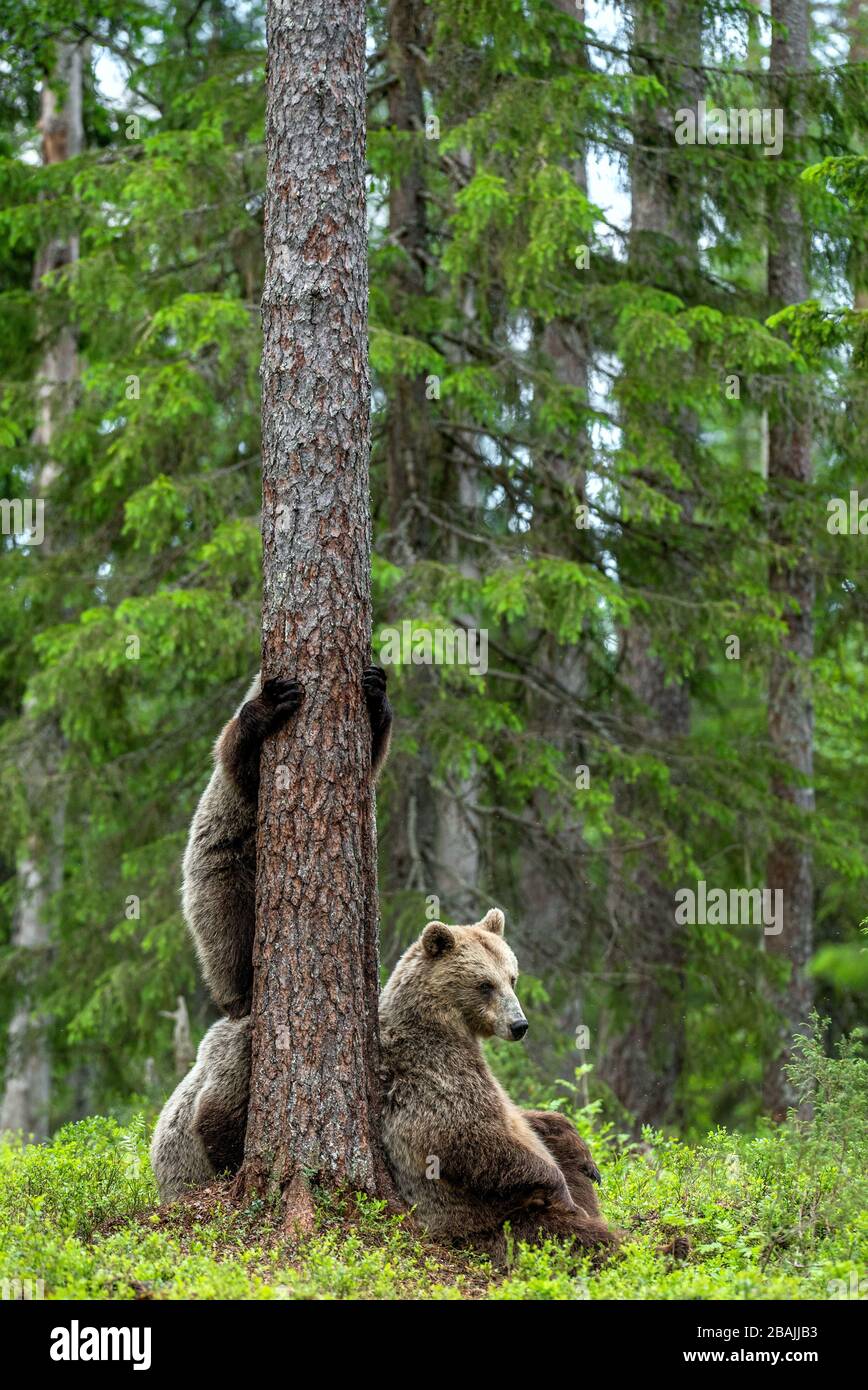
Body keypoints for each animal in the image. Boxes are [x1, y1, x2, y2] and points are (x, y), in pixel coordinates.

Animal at [182, 665, 392, 1019]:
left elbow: (372, 759)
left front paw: (377, 690)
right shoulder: (242, 788)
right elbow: (234, 756)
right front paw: (272, 702)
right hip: (220, 873)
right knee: (228, 932)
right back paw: (240, 995)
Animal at [379, 908, 617, 1261]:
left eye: (512, 977)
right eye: (485, 984)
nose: (519, 1025)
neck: (449, 1028)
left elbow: (526, 1115)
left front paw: (579, 1145)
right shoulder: (434, 1072)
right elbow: (468, 1136)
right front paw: (563, 1193)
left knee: (572, 1170)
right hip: (497, 1220)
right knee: (573, 1235)